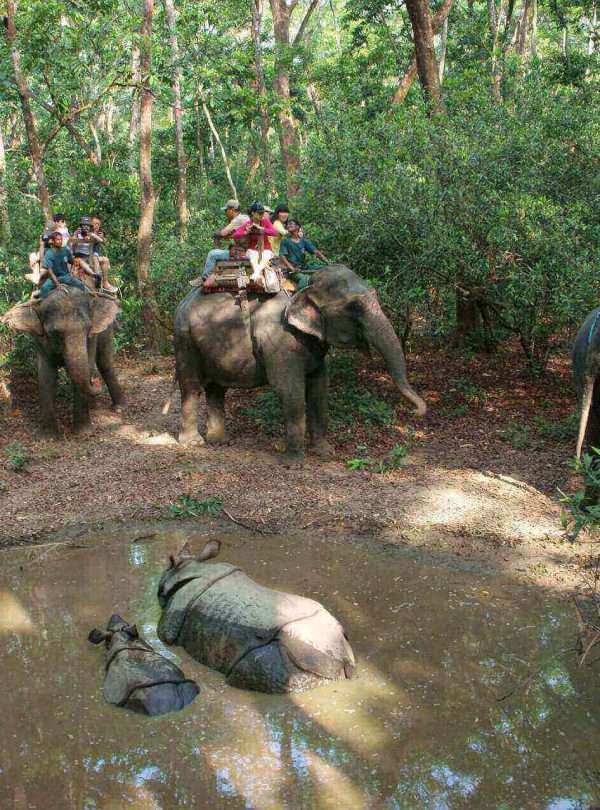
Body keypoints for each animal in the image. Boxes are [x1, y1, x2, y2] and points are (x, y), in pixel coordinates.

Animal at [0, 288, 124, 432]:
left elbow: (86, 365)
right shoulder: (39, 339)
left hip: (106, 329)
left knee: (104, 363)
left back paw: (118, 408)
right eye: (55, 333)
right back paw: (95, 406)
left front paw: (83, 432)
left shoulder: (92, 337)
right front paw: (50, 434)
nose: (95, 382)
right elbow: (47, 375)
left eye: (88, 329)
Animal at [173, 262, 426, 458]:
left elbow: (319, 388)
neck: (303, 289)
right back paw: (193, 443)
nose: (416, 412)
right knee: (191, 386)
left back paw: (219, 441)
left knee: (217, 388)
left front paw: (325, 452)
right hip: (184, 339)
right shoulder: (278, 339)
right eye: (354, 307)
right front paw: (295, 460)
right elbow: (290, 389)